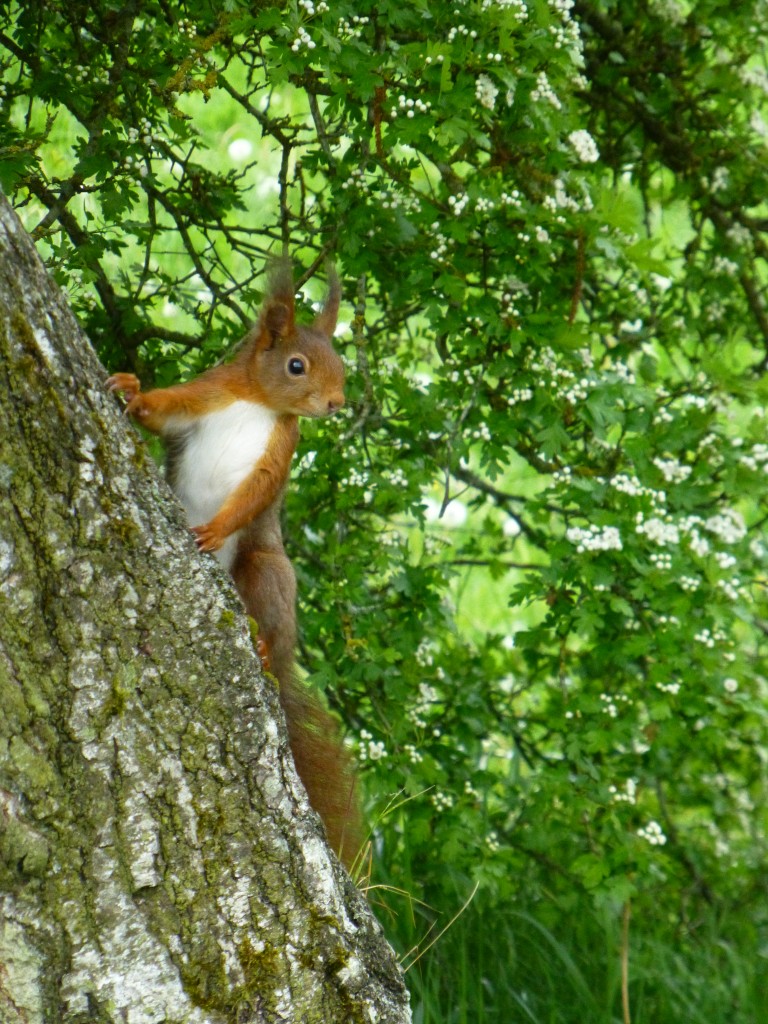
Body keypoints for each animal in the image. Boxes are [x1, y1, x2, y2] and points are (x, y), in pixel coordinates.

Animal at [107, 262, 364, 872]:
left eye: (342, 367)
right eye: (296, 365)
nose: (337, 403)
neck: (258, 404)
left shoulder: (281, 449)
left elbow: (255, 494)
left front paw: (215, 530)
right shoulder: (205, 395)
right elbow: (164, 411)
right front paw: (130, 389)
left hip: (264, 570)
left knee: (269, 613)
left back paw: (267, 647)